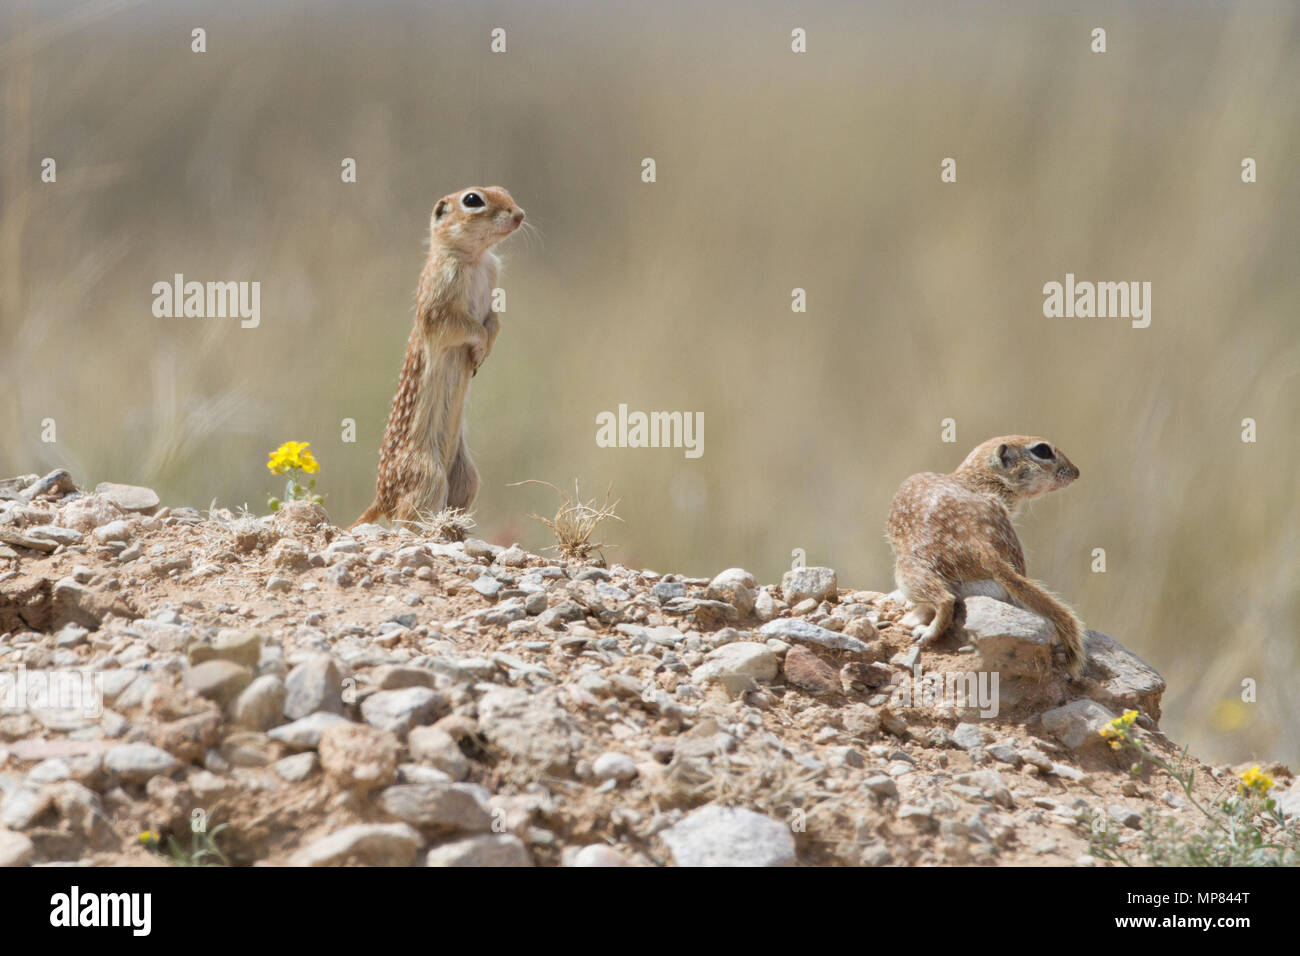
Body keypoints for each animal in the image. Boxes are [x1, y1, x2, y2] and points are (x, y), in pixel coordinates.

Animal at [353, 187, 525, 530]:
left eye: (504, 191)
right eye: (472, 199)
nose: (519, 215)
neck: (474, 259)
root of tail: (381, 498)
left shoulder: (493, 278)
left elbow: (494, 320)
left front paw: (483, 352)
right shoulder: (440, 304)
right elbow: (464, 326)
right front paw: (479, 347)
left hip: (467, 476)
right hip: (427, 477)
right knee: (406, 516)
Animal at [883, 437, 1086, 676]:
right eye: (1043, 451)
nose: (1076, 472)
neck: (975, 480)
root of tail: (979, 544)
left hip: (909, 567)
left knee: (943, 599)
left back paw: (927, 631)